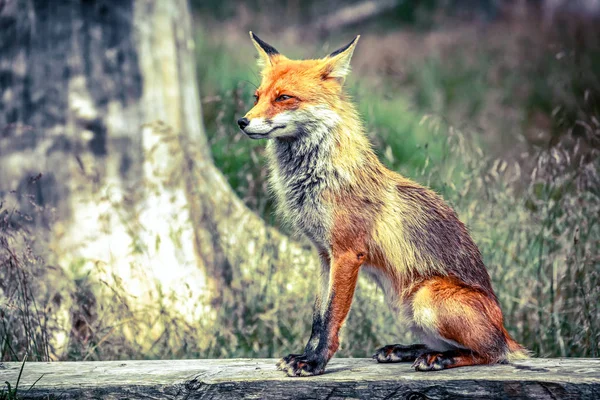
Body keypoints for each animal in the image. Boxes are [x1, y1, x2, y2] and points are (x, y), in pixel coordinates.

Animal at [237, 32, 528, 378]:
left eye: (284, 97)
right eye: (257, 96)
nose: (242, 121)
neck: (318, 178)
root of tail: (507, 334)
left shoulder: (347, 254)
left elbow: (331, 317)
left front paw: (315, 362)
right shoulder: (323, 254)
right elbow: (318, 317)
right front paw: (305, 355)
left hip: (426, 298)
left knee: (490, 353)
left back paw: (440, 359)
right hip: (404, 306)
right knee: (446, 344)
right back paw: (407, 350)